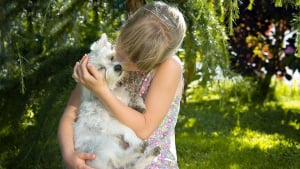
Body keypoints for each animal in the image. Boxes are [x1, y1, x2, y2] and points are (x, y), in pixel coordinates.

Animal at [73, 33, 159, 169]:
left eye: (112, 57)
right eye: (101, 68)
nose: (118, 67)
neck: (111, 92)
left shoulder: (122, 99)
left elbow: (133, 95)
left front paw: (138, 104)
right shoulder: (108, 124)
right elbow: (127, 128)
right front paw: (135, 139)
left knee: (131, 165)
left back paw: (150, 153)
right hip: (103, 145)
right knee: (120, 159)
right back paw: (139, 148)